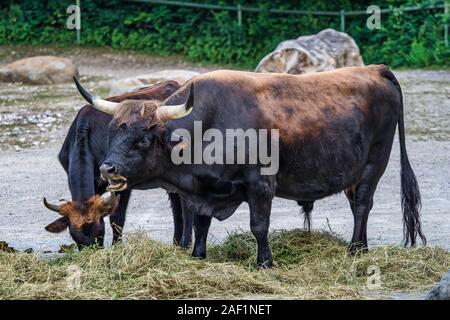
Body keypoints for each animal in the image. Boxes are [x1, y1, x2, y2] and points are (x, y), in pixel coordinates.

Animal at [43, 80, 193, 250]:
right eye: (74, 236)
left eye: (100, 232)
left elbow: (117, 218)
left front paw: (116, 247)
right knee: (176, 206)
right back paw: (176, 243)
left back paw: (185, 245)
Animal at [74, 65, 426, 268]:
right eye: (113, 131)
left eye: (143, 140)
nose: (107, 169)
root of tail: (374, 69)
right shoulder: (203, 192)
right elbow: (200, 223)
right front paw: (198, 254)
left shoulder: (261, 185)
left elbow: (259, 226)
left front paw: (264, 262)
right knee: (357, 205)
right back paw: (361, 248)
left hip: (375, 162)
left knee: (363, 204)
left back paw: (354, 250)